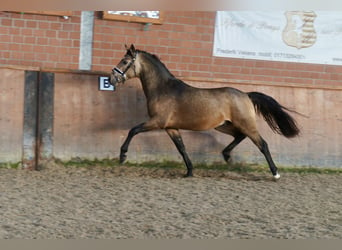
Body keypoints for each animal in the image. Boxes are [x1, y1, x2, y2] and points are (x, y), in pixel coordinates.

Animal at [110, 45, 300, 180]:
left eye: (125, 62)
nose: (112, 78)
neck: (162, 89)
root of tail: (246, 94)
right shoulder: (171, 127)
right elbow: (181, 148)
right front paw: (189, 172)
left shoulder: (157, 122)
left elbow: (133, 130)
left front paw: (122, 155)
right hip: (223, 125)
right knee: (239, 136)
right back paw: (227, 156)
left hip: (246, 125)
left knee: (263, 145)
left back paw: (275, 173)